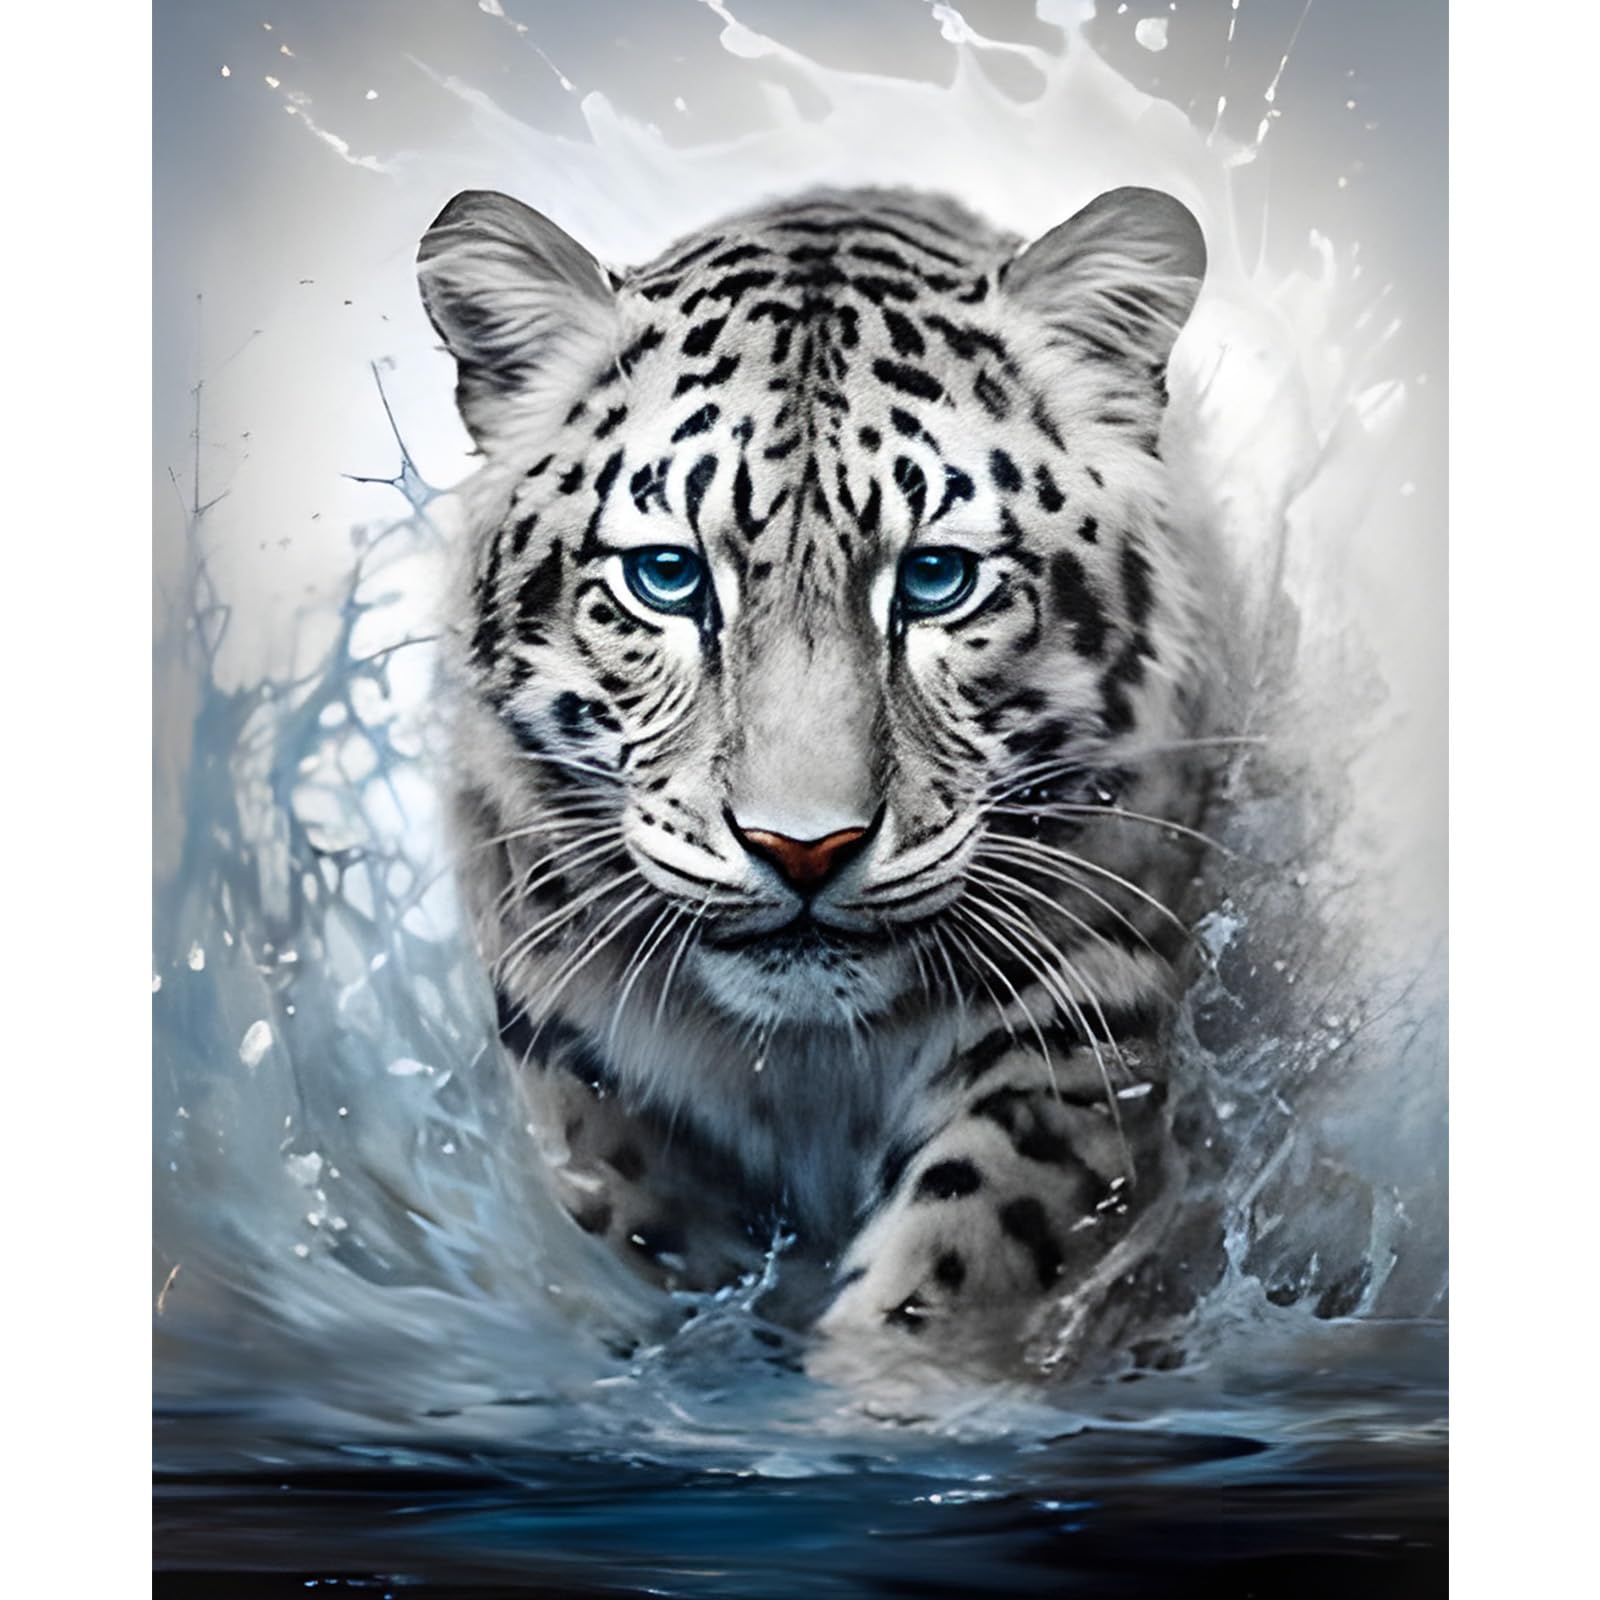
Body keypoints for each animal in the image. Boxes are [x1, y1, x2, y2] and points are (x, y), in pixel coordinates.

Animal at [416, 180, 1221, 1369]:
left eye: (936, 579)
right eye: (668, 576)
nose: (803, 849)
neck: (807, 1067)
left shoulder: (1088, 997)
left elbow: (976, 1233)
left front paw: (885, 1383)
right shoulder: (565, 1034)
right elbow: (639, 1222)